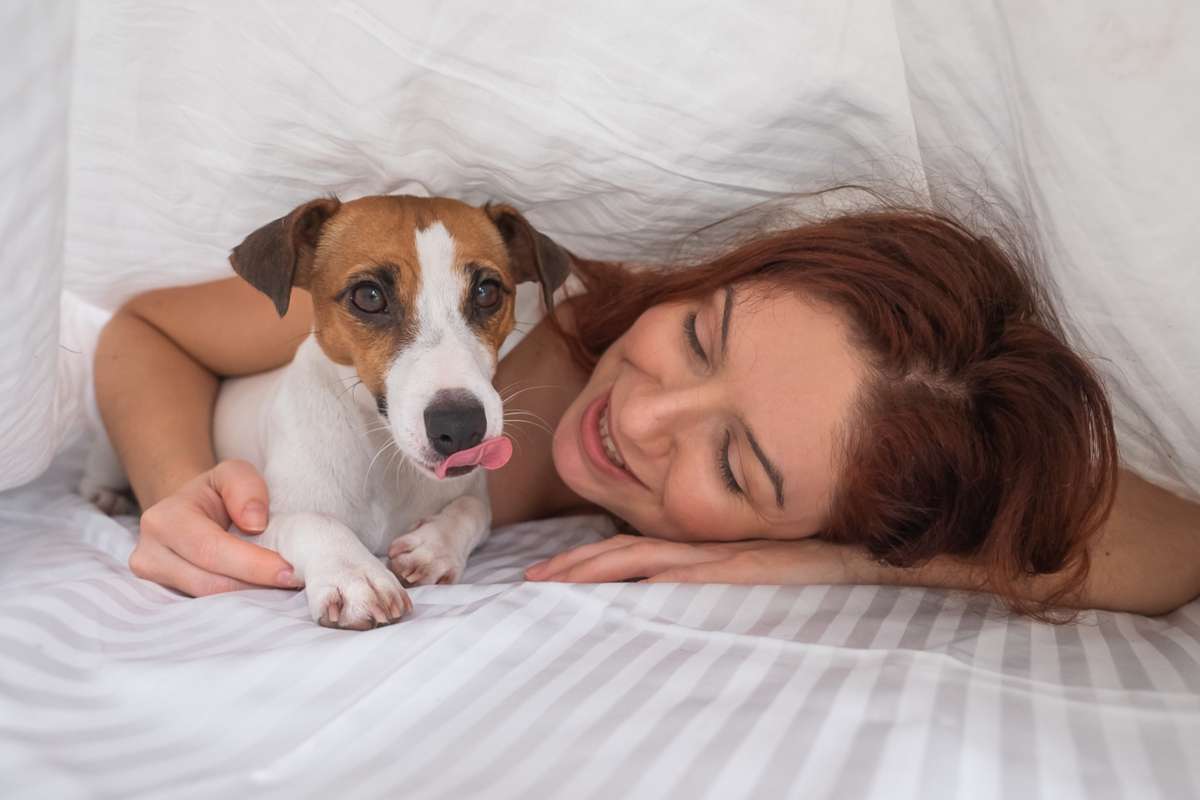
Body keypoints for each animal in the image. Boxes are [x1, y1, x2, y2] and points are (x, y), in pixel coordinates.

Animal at [208, 195, 568, 633]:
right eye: (369, 296)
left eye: (486, 292)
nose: (461, 426)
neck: (382, 458)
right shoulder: (242, 530)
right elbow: (312, 521)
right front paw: (355, 575)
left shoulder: (471, 495)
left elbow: (473, 508)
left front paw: (434, 546)